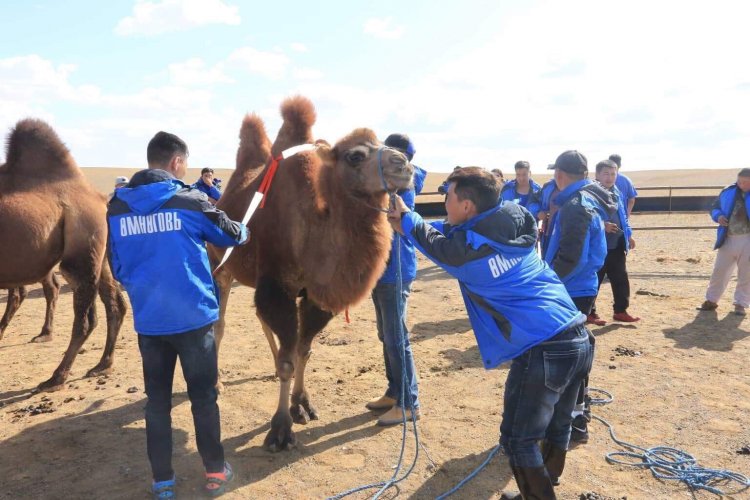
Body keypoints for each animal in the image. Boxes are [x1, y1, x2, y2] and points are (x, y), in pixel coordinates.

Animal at [0, 118, 128, 390]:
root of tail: (101, 199)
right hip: (102, 256)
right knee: (115, 305)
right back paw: (102, 365)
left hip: (82, 246)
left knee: (85, 318)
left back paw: (56, 377)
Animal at [209, 95, 414, 452]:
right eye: (355, 155)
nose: (404, 164)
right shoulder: (278, 286)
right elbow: (289, 361)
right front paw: (280, 430)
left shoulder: (314, 295)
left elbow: (303, 350)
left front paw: (301, 404)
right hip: (220, 264)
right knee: (219, 322)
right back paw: (218, 383)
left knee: (263, 321)